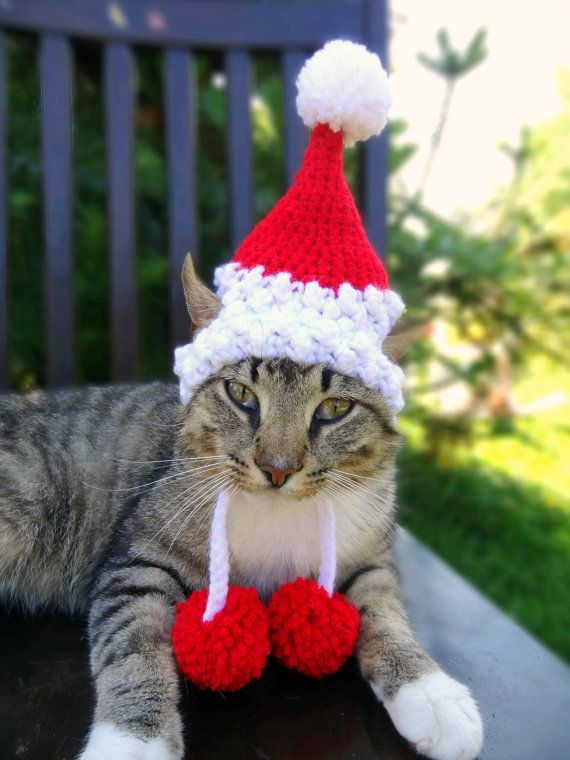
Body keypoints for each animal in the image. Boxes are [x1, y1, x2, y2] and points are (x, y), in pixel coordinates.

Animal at [0, 258, 482, 756]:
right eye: (241, 394)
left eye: (335, 408)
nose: (276, 469)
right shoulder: (138, 560)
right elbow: (134, 643)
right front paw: (134, 739)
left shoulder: (370, 555)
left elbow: (387, 613)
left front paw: (430, 690)